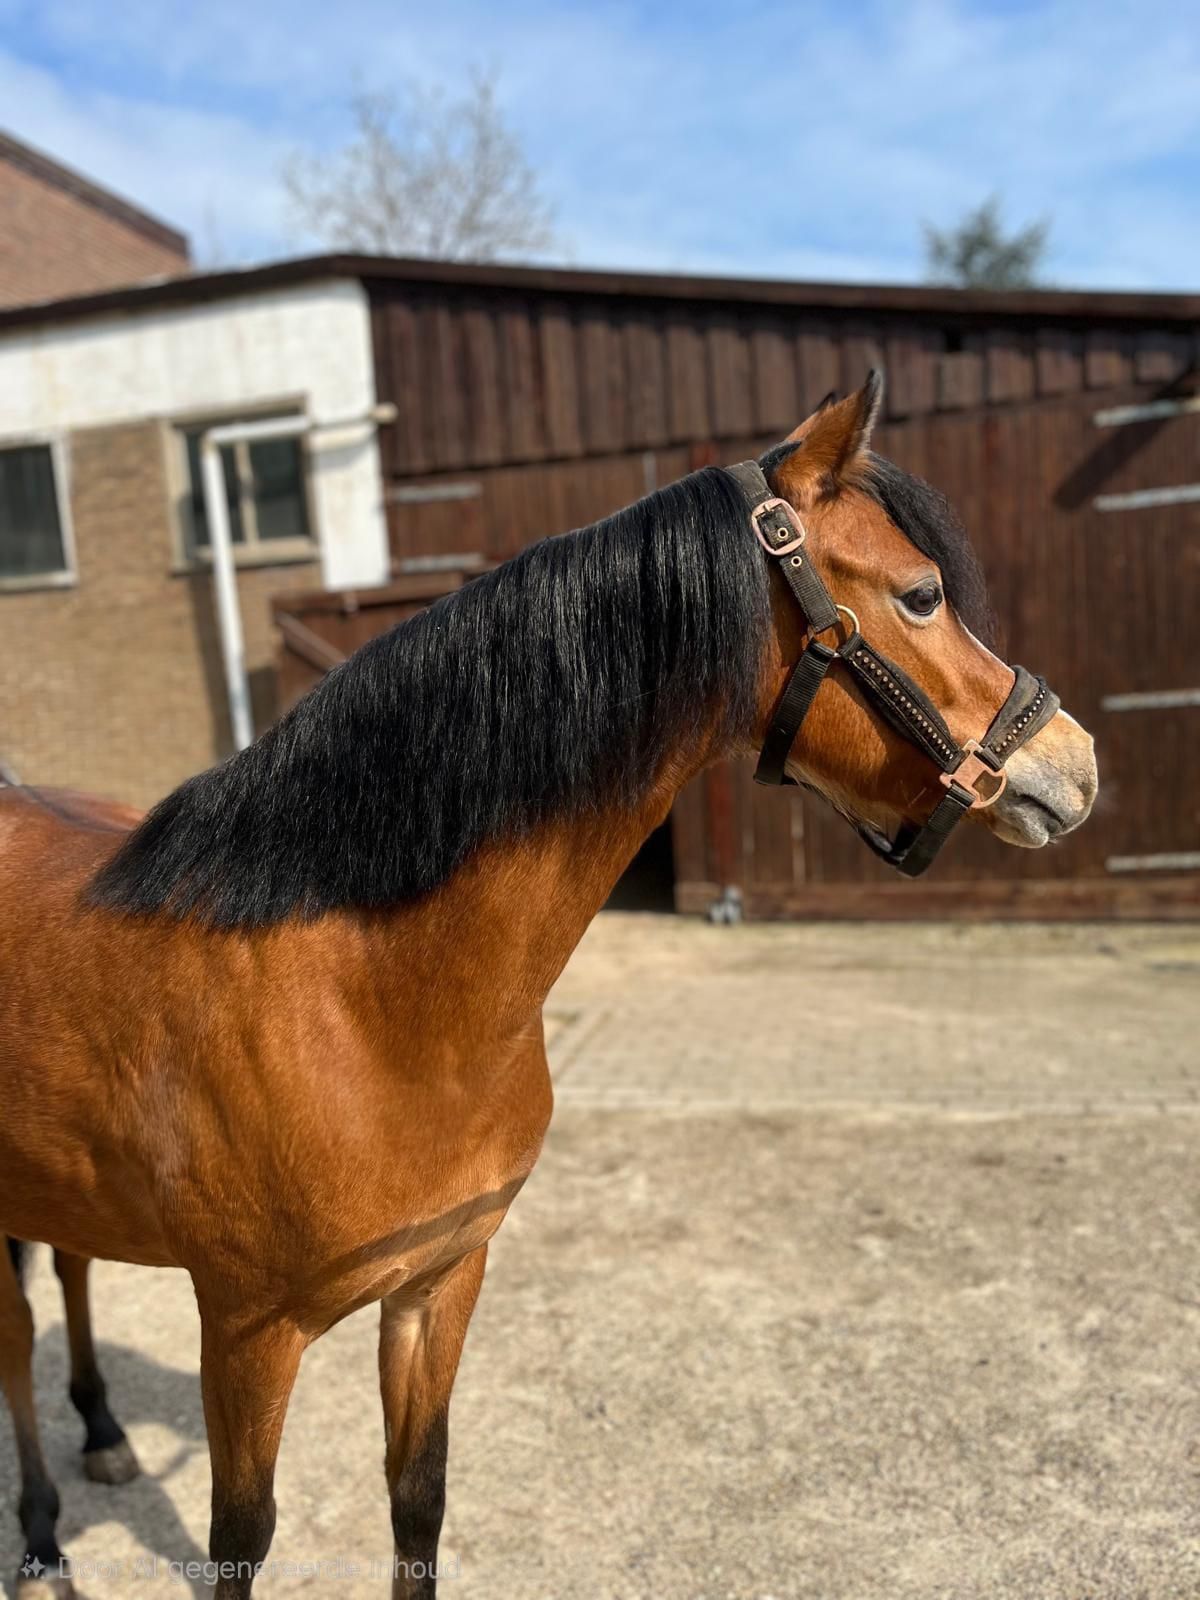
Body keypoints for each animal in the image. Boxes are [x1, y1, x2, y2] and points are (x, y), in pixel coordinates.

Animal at [0, 375, 1097, 1598]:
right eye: (920, 594)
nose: (1074, 766)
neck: (362, 1001)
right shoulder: (245, 1332)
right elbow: (239, 1546)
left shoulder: (438, 1284)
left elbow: (418, 1504)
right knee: (15, 1341)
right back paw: (40, 1540)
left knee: (67, 1276)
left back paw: (102, 1435)